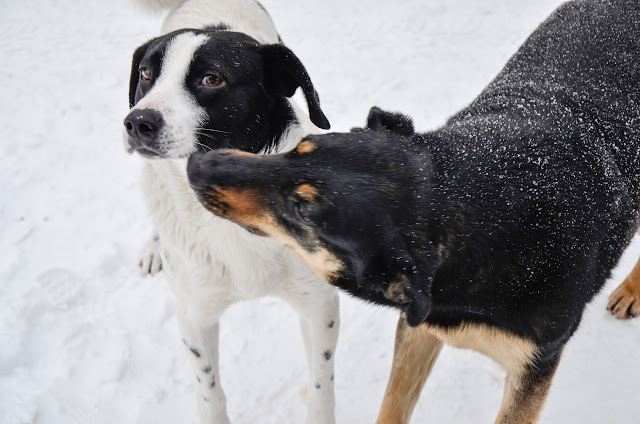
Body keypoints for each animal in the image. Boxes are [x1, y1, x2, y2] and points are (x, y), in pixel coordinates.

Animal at [121, 1, 340, 422]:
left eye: (212, 79)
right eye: (146, 74)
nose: (137, 122)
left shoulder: (319, 304)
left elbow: (321, 387)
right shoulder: (194, 313)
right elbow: (210, 393)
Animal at [186, 0, 640, 420]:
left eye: (301, 210)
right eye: (298, 149)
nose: (197, 164)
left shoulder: (534, 368)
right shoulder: (418, 327)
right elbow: (393, 404)